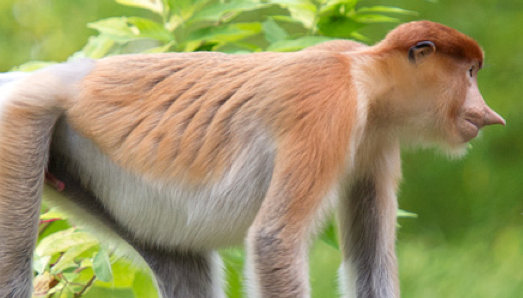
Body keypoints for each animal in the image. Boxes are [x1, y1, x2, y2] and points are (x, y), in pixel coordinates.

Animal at [0, 21, 508, 298]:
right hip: (19, 126)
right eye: (469, 72)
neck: (365, 75)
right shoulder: (328, 106)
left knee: (179, 263)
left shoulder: (376, 141)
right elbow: (273, 241)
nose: (488, 113)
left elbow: (370, 262)